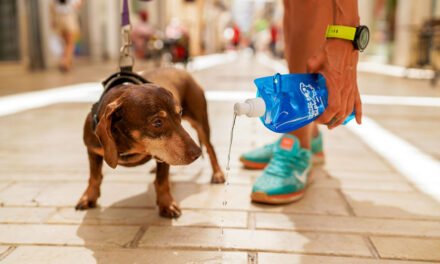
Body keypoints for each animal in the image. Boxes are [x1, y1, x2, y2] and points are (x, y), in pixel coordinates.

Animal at [75, 67, 225, 217]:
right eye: (157, 122)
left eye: (180, 113)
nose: (197, 154)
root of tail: (180, 69)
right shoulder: (92, 150)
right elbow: (94, 177)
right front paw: (88, 197)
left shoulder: (164, 155)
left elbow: (162, 181)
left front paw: (167, 204)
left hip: (200, 123)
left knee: (210, 148)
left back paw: (218, 174)